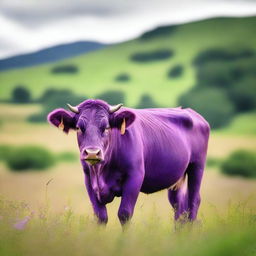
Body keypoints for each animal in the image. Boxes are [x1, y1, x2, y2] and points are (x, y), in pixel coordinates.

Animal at [48, 99, 210, 225]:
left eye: (106, 127)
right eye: (79, 128)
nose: (93, 152)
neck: (102, 171)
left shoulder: (135, 176)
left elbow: (124, 214)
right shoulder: (88, 179)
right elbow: (101, 217)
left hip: (197, 167)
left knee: (194, 201)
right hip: (177, 180)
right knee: (179, 207)